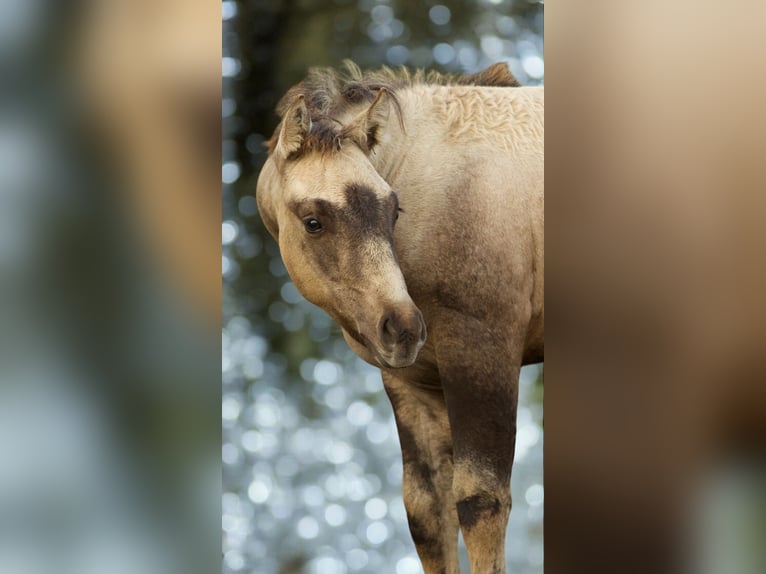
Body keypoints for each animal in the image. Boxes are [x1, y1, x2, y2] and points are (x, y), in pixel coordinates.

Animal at [255, 60, 544, 572]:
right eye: (313, 221)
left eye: (393, 211)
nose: (403, 328)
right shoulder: (412, 383)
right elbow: (426, 511)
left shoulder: (484, 353)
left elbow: (482, 501)